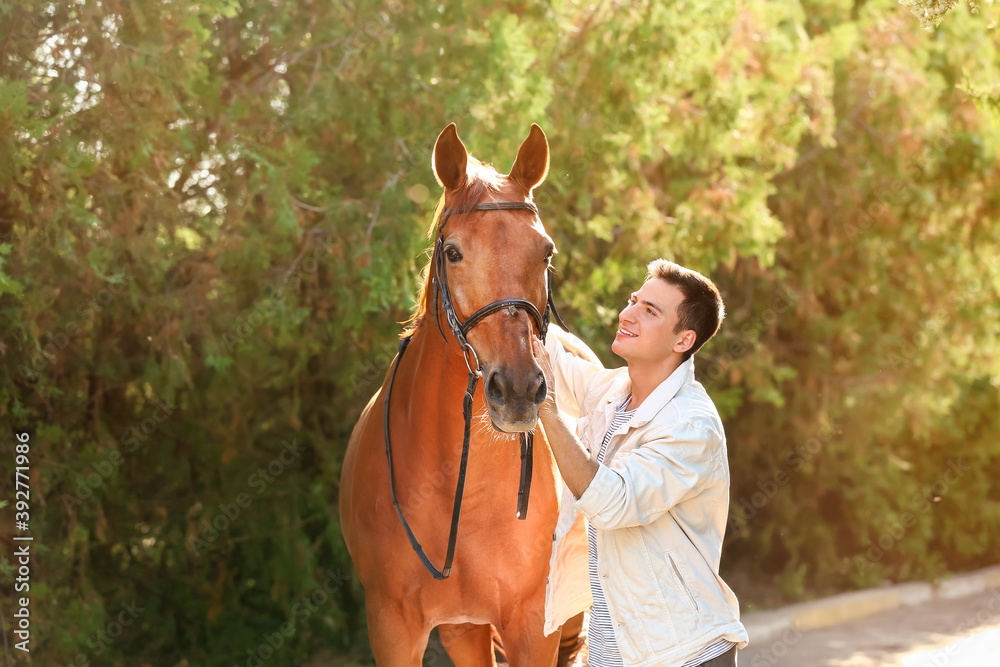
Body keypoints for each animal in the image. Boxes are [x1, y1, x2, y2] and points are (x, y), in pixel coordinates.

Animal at [340, 124, 584, 664]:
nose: (518, 389)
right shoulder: (393, 627)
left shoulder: (533, 626)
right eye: (453, 252)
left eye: (546, 252)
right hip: (465, 631)